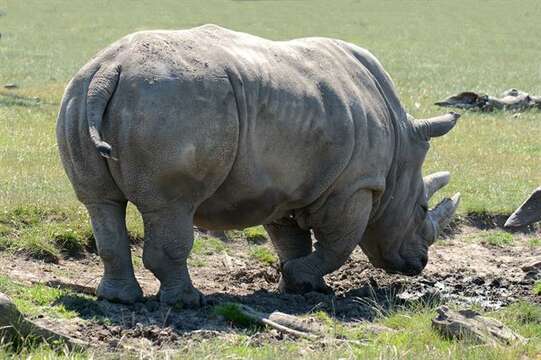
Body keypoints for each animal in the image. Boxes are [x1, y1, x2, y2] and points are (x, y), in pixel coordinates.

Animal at [56, 25, 460, 306]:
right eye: (422, 207)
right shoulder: (355, 185)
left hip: (80, 93)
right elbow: (338, 245)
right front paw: (300, 278)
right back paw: (188, 302)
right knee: (172, 206)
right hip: (170, 104)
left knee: (99, 202)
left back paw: (117, 298)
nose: (419, 262)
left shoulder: (284, 187)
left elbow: (290, 241)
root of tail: (111, 68)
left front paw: (303, 287)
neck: (400, 155)